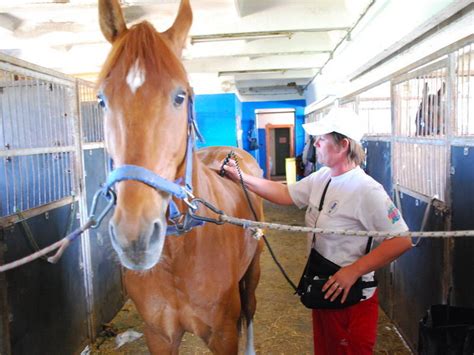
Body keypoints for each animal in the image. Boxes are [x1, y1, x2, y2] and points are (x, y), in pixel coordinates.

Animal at [97, 0, 264, 355]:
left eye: (180, 96)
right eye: (102, 100)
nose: (135, 237)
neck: (179, 253)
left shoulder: (223, 333)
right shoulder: (159, 335)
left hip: (253, 267)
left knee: (250, 307)